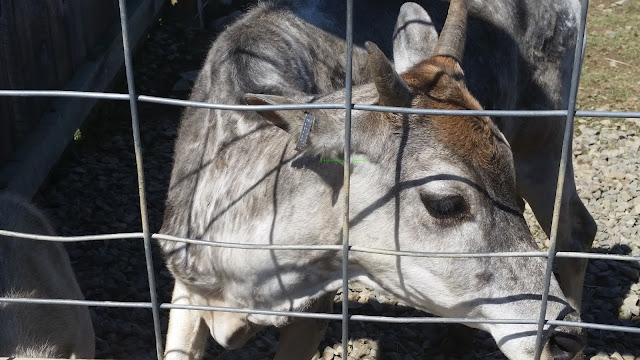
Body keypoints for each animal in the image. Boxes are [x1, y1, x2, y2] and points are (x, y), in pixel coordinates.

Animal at [159, 0, 596, 360]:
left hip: (545, 142)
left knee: (576, 229)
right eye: (445, 203)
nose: (563, 338)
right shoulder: (184, 285)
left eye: (505, 170)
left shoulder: (316, 308)